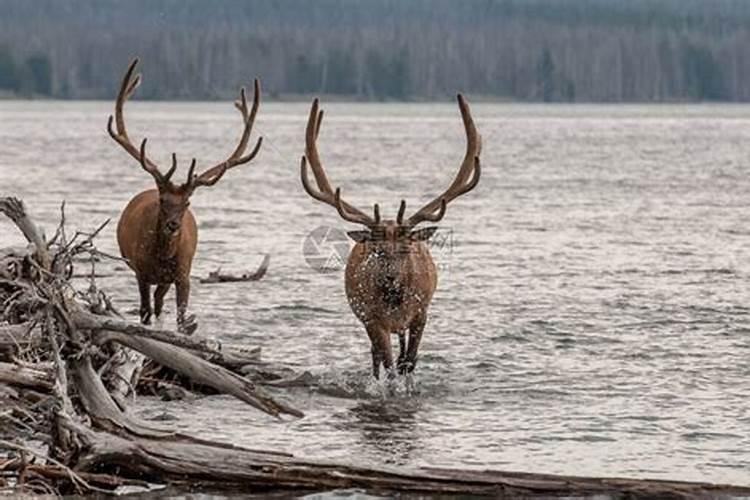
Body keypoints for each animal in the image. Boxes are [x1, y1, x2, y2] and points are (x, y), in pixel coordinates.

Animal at [108, 59, 264, 332]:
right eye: (162, 201)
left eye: (187, 202)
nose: (173, 225)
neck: (162, 256)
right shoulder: (140, 272)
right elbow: (144, 312)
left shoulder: (184, 274)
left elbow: (181, 318)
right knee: (153, 305)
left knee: (160, 302)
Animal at [300, 94, 482, 378]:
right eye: (377, 249)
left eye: (406, 248)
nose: (390, 278)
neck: (396, 304)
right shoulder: (373, 320)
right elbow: (389, 364)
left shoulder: (421, 313)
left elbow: (409, 361)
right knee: (375, 356)